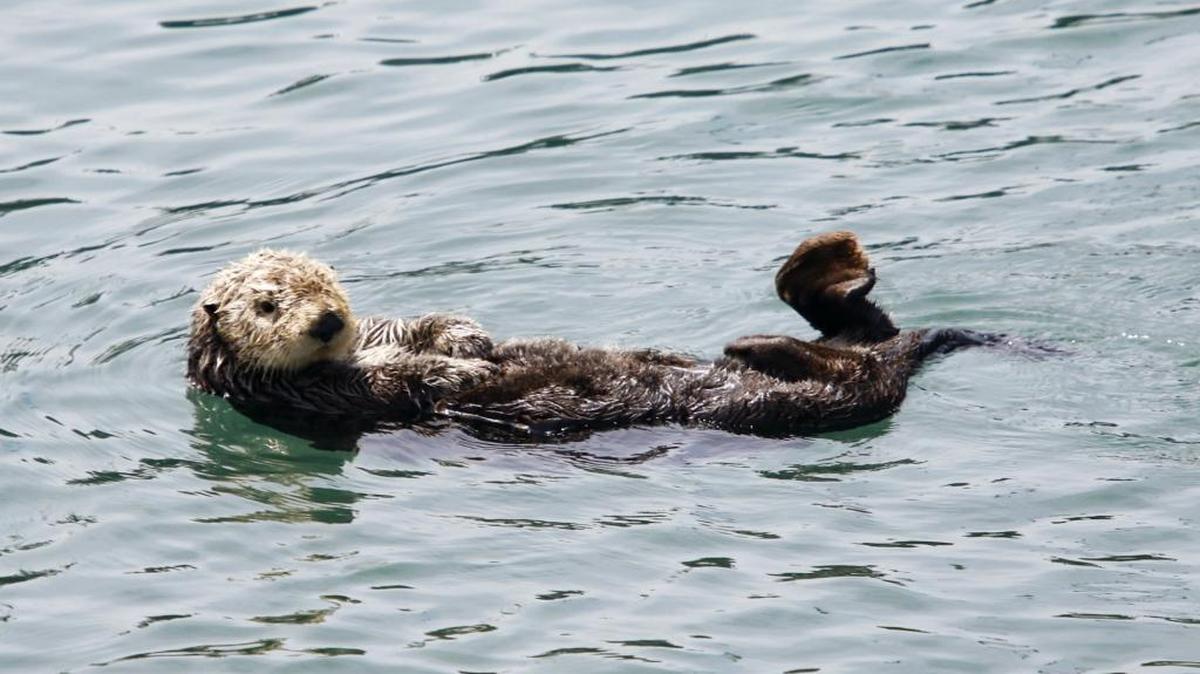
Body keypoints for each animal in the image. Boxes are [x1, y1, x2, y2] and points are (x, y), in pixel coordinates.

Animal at [187, 232, 999, 439]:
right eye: (268, 305)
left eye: (327, 282)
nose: (328, 321)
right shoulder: (311, 397)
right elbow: (403, 380)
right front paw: (464, 373)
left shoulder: (387, 327)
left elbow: (427, 325)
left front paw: (469, 342)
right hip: (792, 405)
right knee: (855, 371)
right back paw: (756, 339)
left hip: (847, 355)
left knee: (863, 325)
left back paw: (819, 267)